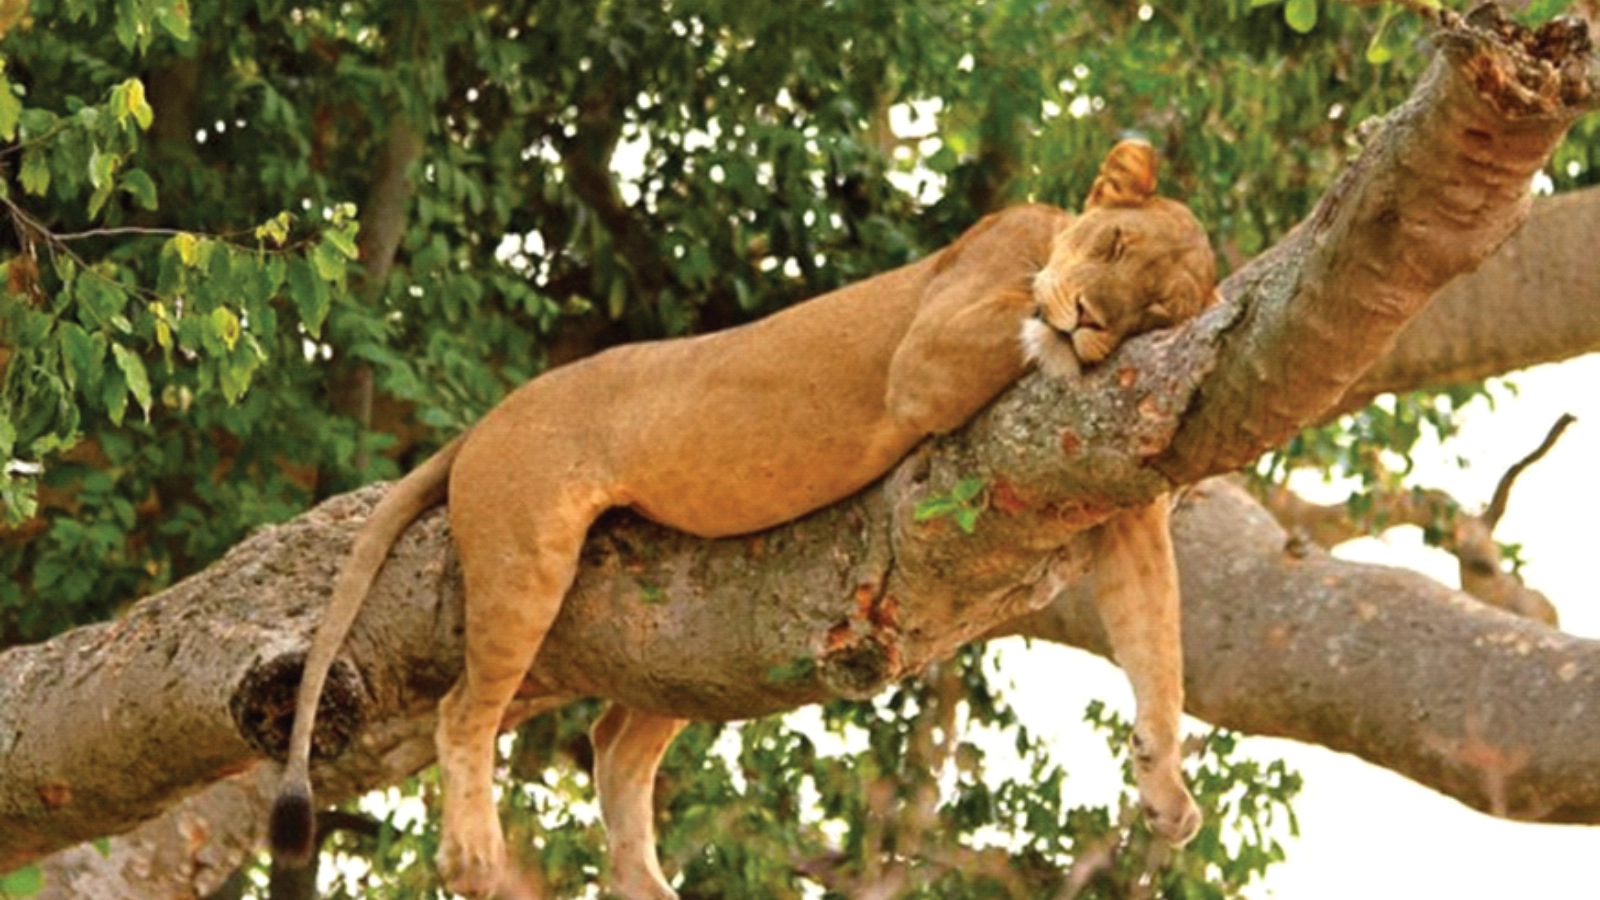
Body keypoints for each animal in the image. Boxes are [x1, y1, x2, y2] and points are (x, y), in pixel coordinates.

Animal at [270, 139, 1217, 900]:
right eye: (1114, 244)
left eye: (1154, 315)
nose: (1090, 319)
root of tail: (483, 423)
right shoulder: (927, 356)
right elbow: (1015, 322)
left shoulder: (1113, 492)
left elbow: (1158, 640)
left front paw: (1166, 789)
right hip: (524, 554)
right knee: (466, 707)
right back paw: (473, 856)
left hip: (694, 643)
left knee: (615, 739)